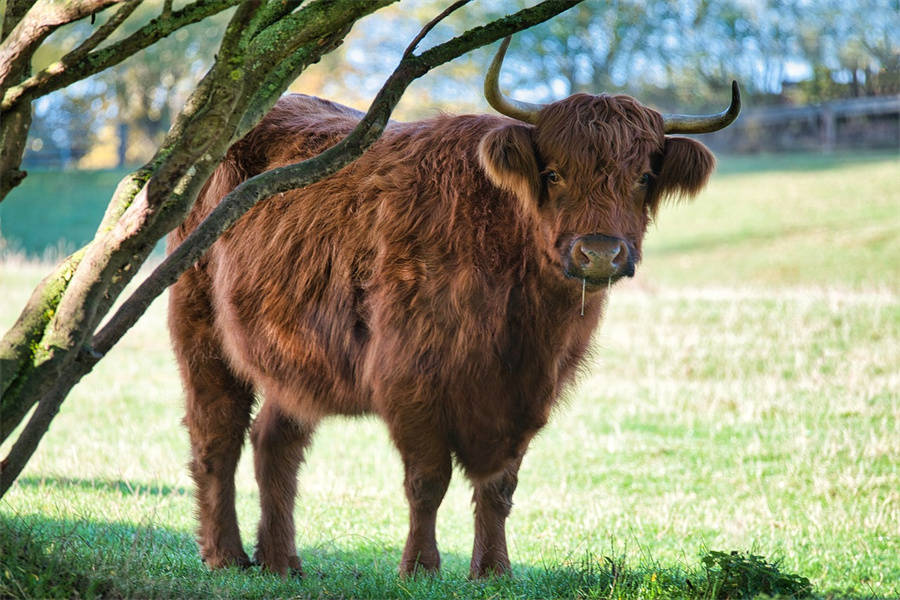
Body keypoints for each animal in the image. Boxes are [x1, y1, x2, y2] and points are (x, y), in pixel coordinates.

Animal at [167, 36, 740, 576]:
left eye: (643, 177)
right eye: (554, 173)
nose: (599, 252)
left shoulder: (528, 394)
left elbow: (499, 487)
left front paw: (492, 570)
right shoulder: (409, 380)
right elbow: (428, 480)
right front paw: (420, 567)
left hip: (297, 361)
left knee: (274, 445)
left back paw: (282, 561)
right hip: (201, 332)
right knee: (216, 438)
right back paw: (226, 555)